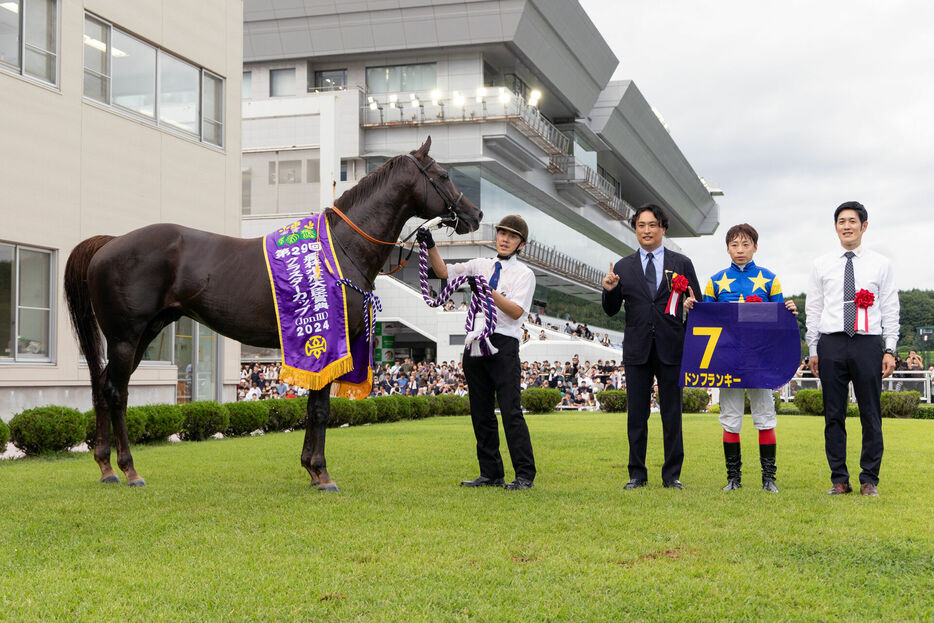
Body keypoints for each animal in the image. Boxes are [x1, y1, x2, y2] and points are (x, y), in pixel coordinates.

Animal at [66, 139, 482, 490]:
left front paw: (311, 469)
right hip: (126, 337)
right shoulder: (327, 341)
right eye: (443, 175)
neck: (340, 248)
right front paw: (322, 473)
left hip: (143, 334)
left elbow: (314, 406)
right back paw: (129, 469)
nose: (474, 214)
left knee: (102, 388)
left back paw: (106, 467)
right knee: (115, 392)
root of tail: (109, 244)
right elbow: (320, 409)